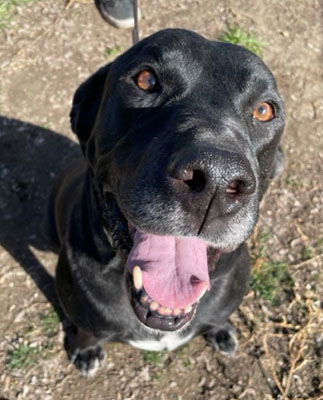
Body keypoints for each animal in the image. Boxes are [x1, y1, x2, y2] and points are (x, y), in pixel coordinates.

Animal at [46, 28, 284, 376]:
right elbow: (88, 331)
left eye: (265, 110)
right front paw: (85, 350)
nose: (217, 179)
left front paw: (221, 330)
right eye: (146, 80)